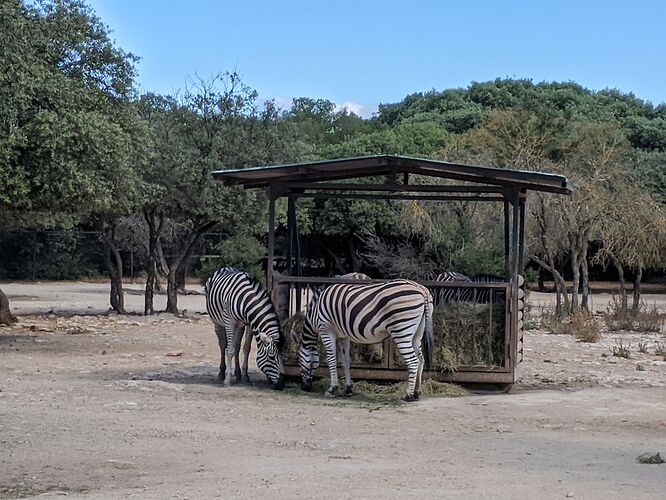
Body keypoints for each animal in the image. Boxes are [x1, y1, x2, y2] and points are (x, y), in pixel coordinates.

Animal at [298, 280, 434, 400]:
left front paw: (332, 389)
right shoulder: (343, 336)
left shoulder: (326, 330)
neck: (315, 314)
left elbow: (332, 360)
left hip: (401, 330)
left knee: (413, 361)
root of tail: (422, 289)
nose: (305, 387)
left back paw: (408, 395)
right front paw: (348, 389)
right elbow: (346, 361)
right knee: (421, 358)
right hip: (417, 333)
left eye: (299, 360)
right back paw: (417, 392)